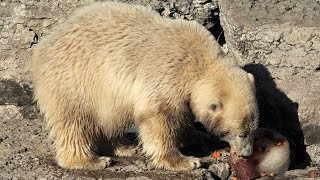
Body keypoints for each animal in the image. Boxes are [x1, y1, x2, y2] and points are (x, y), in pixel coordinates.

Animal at [31, 1, 258, 171]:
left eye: (253, 130)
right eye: (240, 133)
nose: (247, 153)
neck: (199, 62)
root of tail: (43, 49)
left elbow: (183, 115)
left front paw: (197, 136)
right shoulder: (166, 74)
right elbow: (159, 118)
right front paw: (185, 160)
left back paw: (124, 147)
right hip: (76, 81)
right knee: (75, 121)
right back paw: (91, 160)